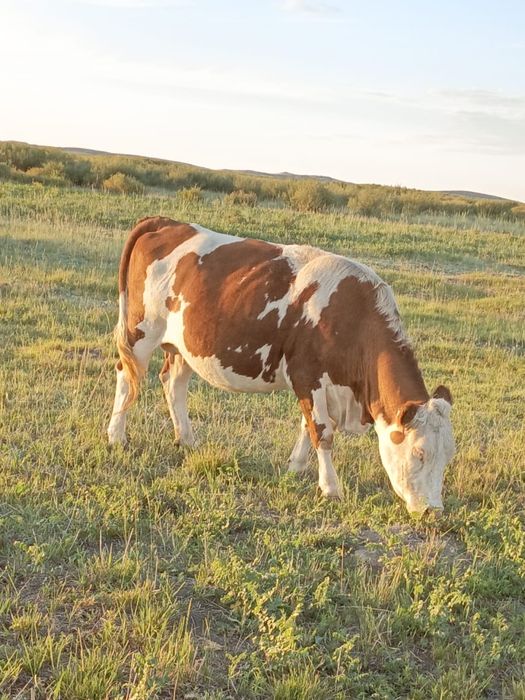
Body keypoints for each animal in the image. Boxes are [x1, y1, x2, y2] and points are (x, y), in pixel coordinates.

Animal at [108, 216, 455, 516]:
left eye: (448, 456)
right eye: (420, 453)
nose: (433, 511)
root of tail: (167, 222)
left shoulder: (316, 385)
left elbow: (307, 425)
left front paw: (295, 468)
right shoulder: (307, 375)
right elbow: (322, 431)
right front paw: (330, 488)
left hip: (183, 345)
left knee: (173, 384)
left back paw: (186, 439)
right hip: (141, 332)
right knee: (127, 377)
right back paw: (116, 437)